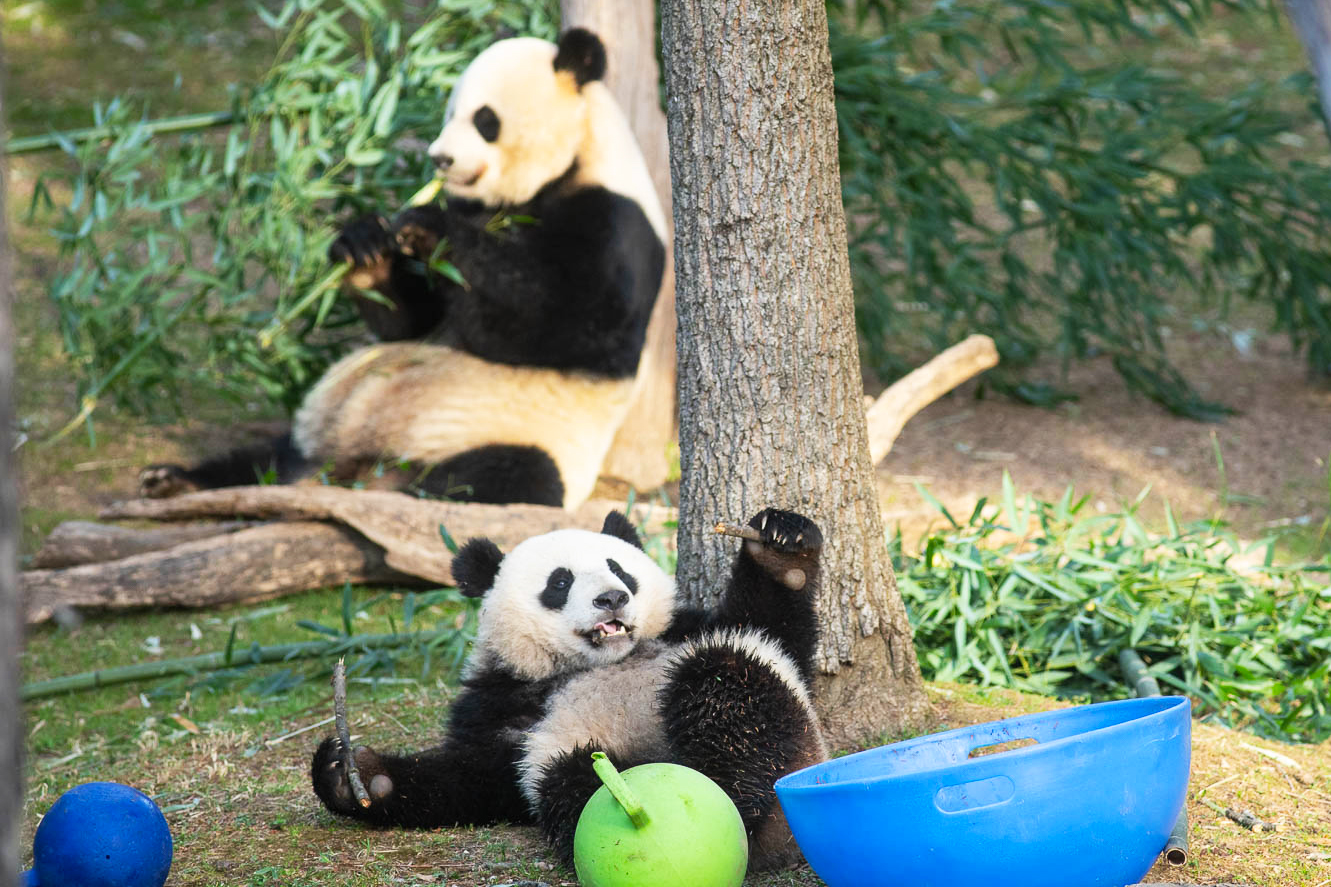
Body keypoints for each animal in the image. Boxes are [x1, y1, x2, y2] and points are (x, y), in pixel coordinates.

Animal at [137, 27, 662, 508]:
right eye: (450, 113)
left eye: (485, 119)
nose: (440, 158)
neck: (568, 167)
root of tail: (351, 469)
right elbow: (412, 321)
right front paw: (366, 245)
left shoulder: (613, 226)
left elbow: (561, 325)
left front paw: (429, 227)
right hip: (312, 432)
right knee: (262, 458)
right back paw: (178, 480)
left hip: (511, 439)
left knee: (502, 477)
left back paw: (402, 493)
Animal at [312, 508, 830, 868]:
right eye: (560, 582)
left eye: (619, 569)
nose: (612, 598)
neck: (590, 666)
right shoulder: (506, 703)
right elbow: (476, 776)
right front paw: (355, 774)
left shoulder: (685, 630)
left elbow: (769, 629)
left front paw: (780, 548)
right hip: (572, 757)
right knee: (567, 778)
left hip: (780, 723)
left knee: (724, 682)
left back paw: (741, 792)